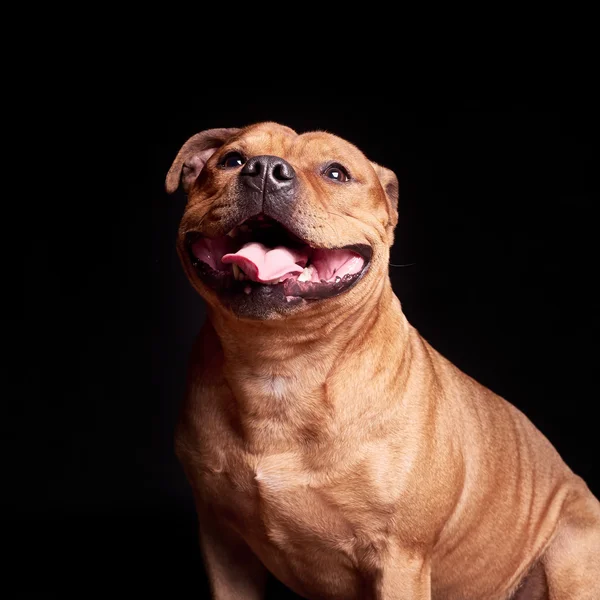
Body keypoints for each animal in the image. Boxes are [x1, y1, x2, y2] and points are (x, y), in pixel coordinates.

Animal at [165, 123, 600, 600]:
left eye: (336, 172)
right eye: (231, 160)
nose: (265, 170)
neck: (281, 363)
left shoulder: (399, 558)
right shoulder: (223, 544)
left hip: (570, 555)